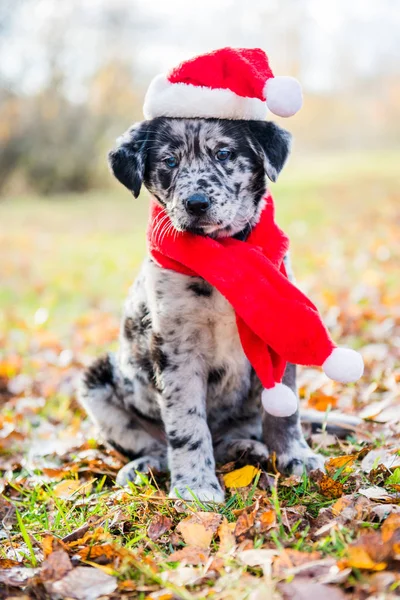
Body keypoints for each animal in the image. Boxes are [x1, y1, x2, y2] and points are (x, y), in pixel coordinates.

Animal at [79, 117, 324, 502]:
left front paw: (295, 456)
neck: (222, 255)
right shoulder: (176, 350)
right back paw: (143, 468)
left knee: (231, 438)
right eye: (168, 161)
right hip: (98, 381)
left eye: (224, 153)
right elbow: (188, 425)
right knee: (156, 445)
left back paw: (247, 449)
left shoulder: (279, 331)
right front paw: (195, 488)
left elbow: (285, 413)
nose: (196, 203)